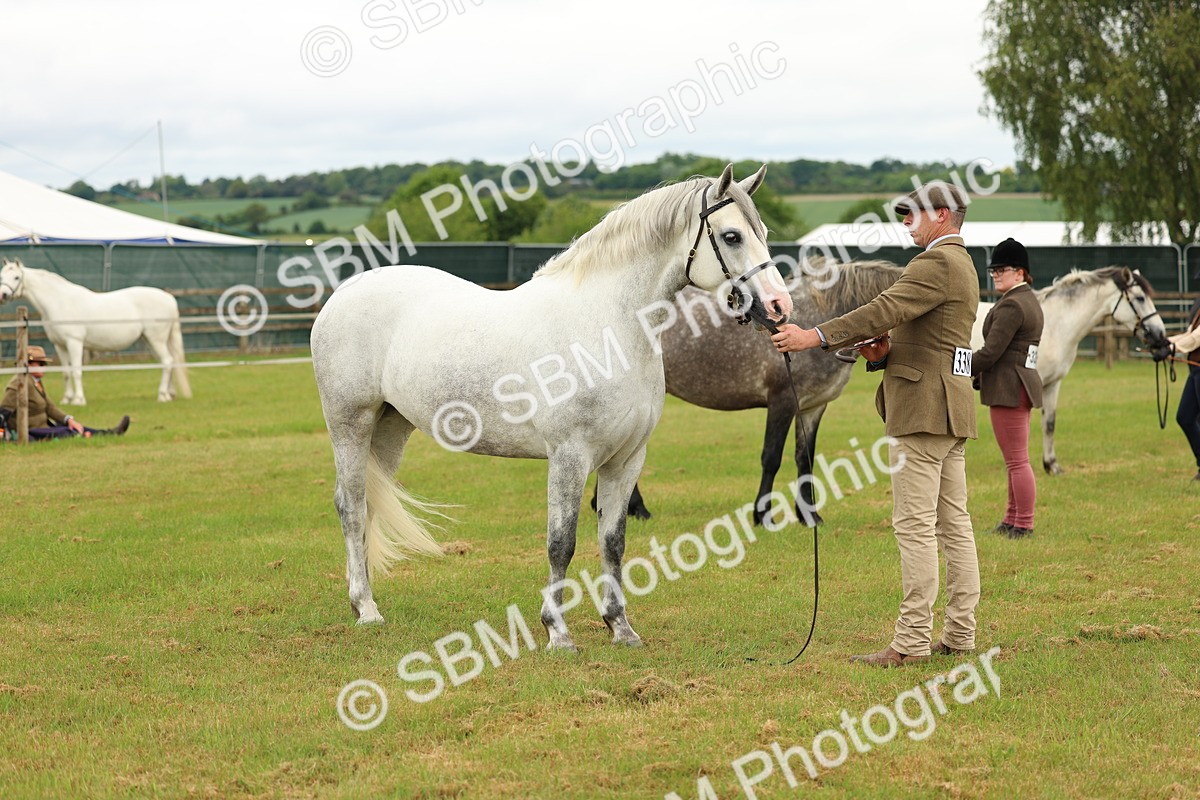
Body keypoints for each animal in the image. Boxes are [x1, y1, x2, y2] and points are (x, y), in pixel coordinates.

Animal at [0, 259, 191, 404]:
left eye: (16, 277)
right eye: (1, 275)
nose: (2, 295)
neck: (59, 301)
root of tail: (169, 298)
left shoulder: (75, 343)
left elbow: (76, 370)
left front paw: (78, 400)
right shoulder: (60, 345)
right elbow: (66, 373)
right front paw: (67, 399)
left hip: (156, 339)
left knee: (167, 362)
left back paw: (162, 395)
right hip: (152, 340)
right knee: (168, 362)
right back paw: (169, 395)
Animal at [310, 165, 792, 649]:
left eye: (764, 233)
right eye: (731, 236)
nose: (779, 306)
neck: (608, 327)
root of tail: (344, 293)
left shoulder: (626, 460)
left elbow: (613, 542)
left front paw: (620, 626)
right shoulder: (569, 456)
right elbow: (562, 543)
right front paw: (557, 632)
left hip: (391, 428)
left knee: (369, 504)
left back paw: (366, 600)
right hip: (350, 424)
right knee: (351, 506)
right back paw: (366, 609)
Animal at [597, 258, 904, 525]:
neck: (817, 317)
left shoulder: (813, 407)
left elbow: (804, 458)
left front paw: (809, 517)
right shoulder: (782, 402)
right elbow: (771, 457)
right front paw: (763, 516)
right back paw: (637, 509)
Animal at [971, 266, 1167, 475]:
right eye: (1140, 298)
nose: (1160, 333)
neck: (1055, 325)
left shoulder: (1052, 384)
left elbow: (1049, 424)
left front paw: (1052, 465)